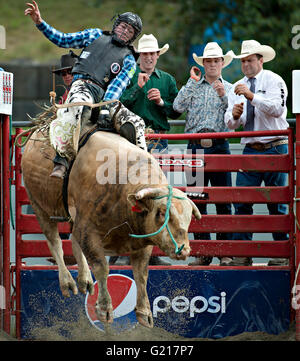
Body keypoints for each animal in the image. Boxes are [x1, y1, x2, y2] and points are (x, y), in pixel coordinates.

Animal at [20, 117, 199, 326]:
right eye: (161, 212)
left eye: (189, 217)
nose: (184, 249)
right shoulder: (88, 232)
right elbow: (102, 268)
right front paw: (104, 309)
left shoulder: (143, 240)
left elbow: (141, 273)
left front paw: (144, 312)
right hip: (38, 204)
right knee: (55, 242)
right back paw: (67, 282)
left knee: (73, 240)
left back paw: (85, 280)